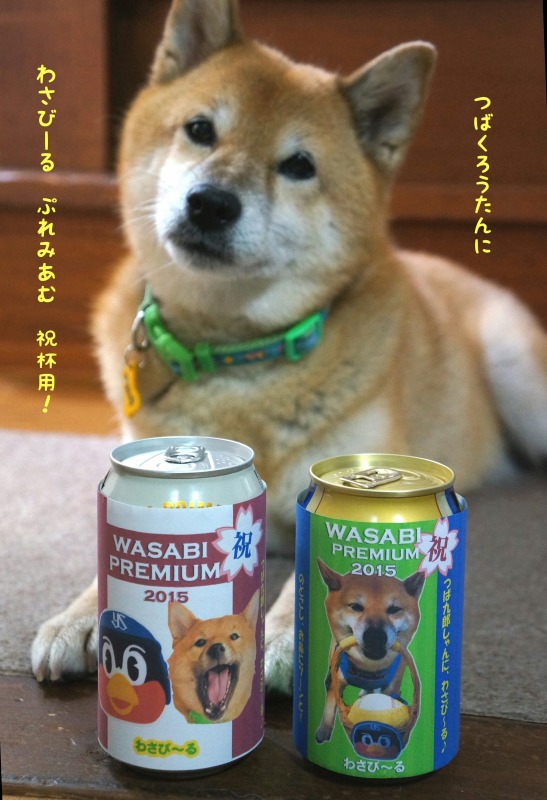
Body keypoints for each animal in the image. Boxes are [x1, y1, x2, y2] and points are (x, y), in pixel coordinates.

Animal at [31, 0, 547, 694]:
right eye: (200, 129)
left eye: (299, 165)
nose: (211, 203)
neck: (238, 356)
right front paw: (82, 614)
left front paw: (282, 634)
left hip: (516, 372)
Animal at [315, 561, 423, 744]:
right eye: (355, 607)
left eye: (394, 609)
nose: (375, 636)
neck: (369, 669)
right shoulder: (334, 679)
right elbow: (330, 706)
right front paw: (323, 731)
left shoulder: (392, 683)